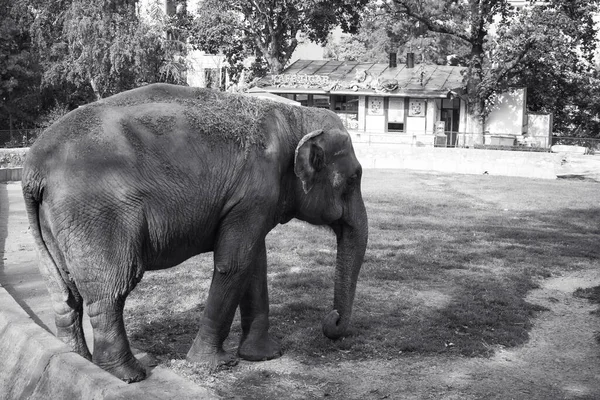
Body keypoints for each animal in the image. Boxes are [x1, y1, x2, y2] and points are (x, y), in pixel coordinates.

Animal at [21, 83, 368, 382]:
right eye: (353, 179)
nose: (332, 319)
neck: (295, 118)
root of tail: (33, 169)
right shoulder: (254, 193)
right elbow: (235, 265)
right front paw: (216, 364)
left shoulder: (251, 202)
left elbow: (255, 264)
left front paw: (264, 356)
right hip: (98, 214)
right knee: (112, 288)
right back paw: (128, 375)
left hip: (51, 224)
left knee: (64, 292)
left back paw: (78, 359)